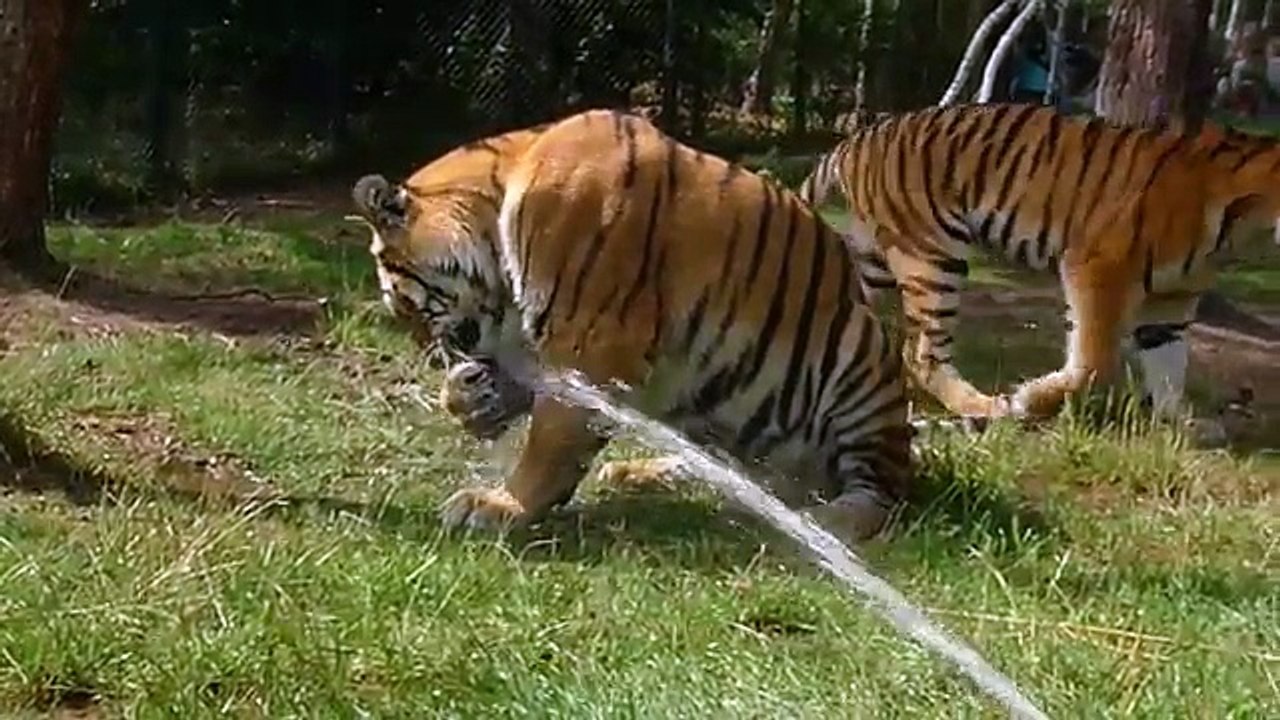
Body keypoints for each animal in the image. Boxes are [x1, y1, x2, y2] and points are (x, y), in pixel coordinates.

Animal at [350, 108, 914, 544]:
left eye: (405, 308)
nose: (434, 354)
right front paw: (469, 399)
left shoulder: (593, 337)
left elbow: (554, 433)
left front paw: (504, 506)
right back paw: (640, 473)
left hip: (860, 365)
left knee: (881, 488)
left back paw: (829, 521)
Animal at [797, 102, 1280, 422]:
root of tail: (855, 141)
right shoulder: (1099, 266)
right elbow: (1094, 361)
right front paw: (1028, 400)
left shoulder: (1170, 304)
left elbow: (1170, 370)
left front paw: (1178, 428)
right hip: (932, 254)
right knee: (920, 352)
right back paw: (983, 406)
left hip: (874, 258)